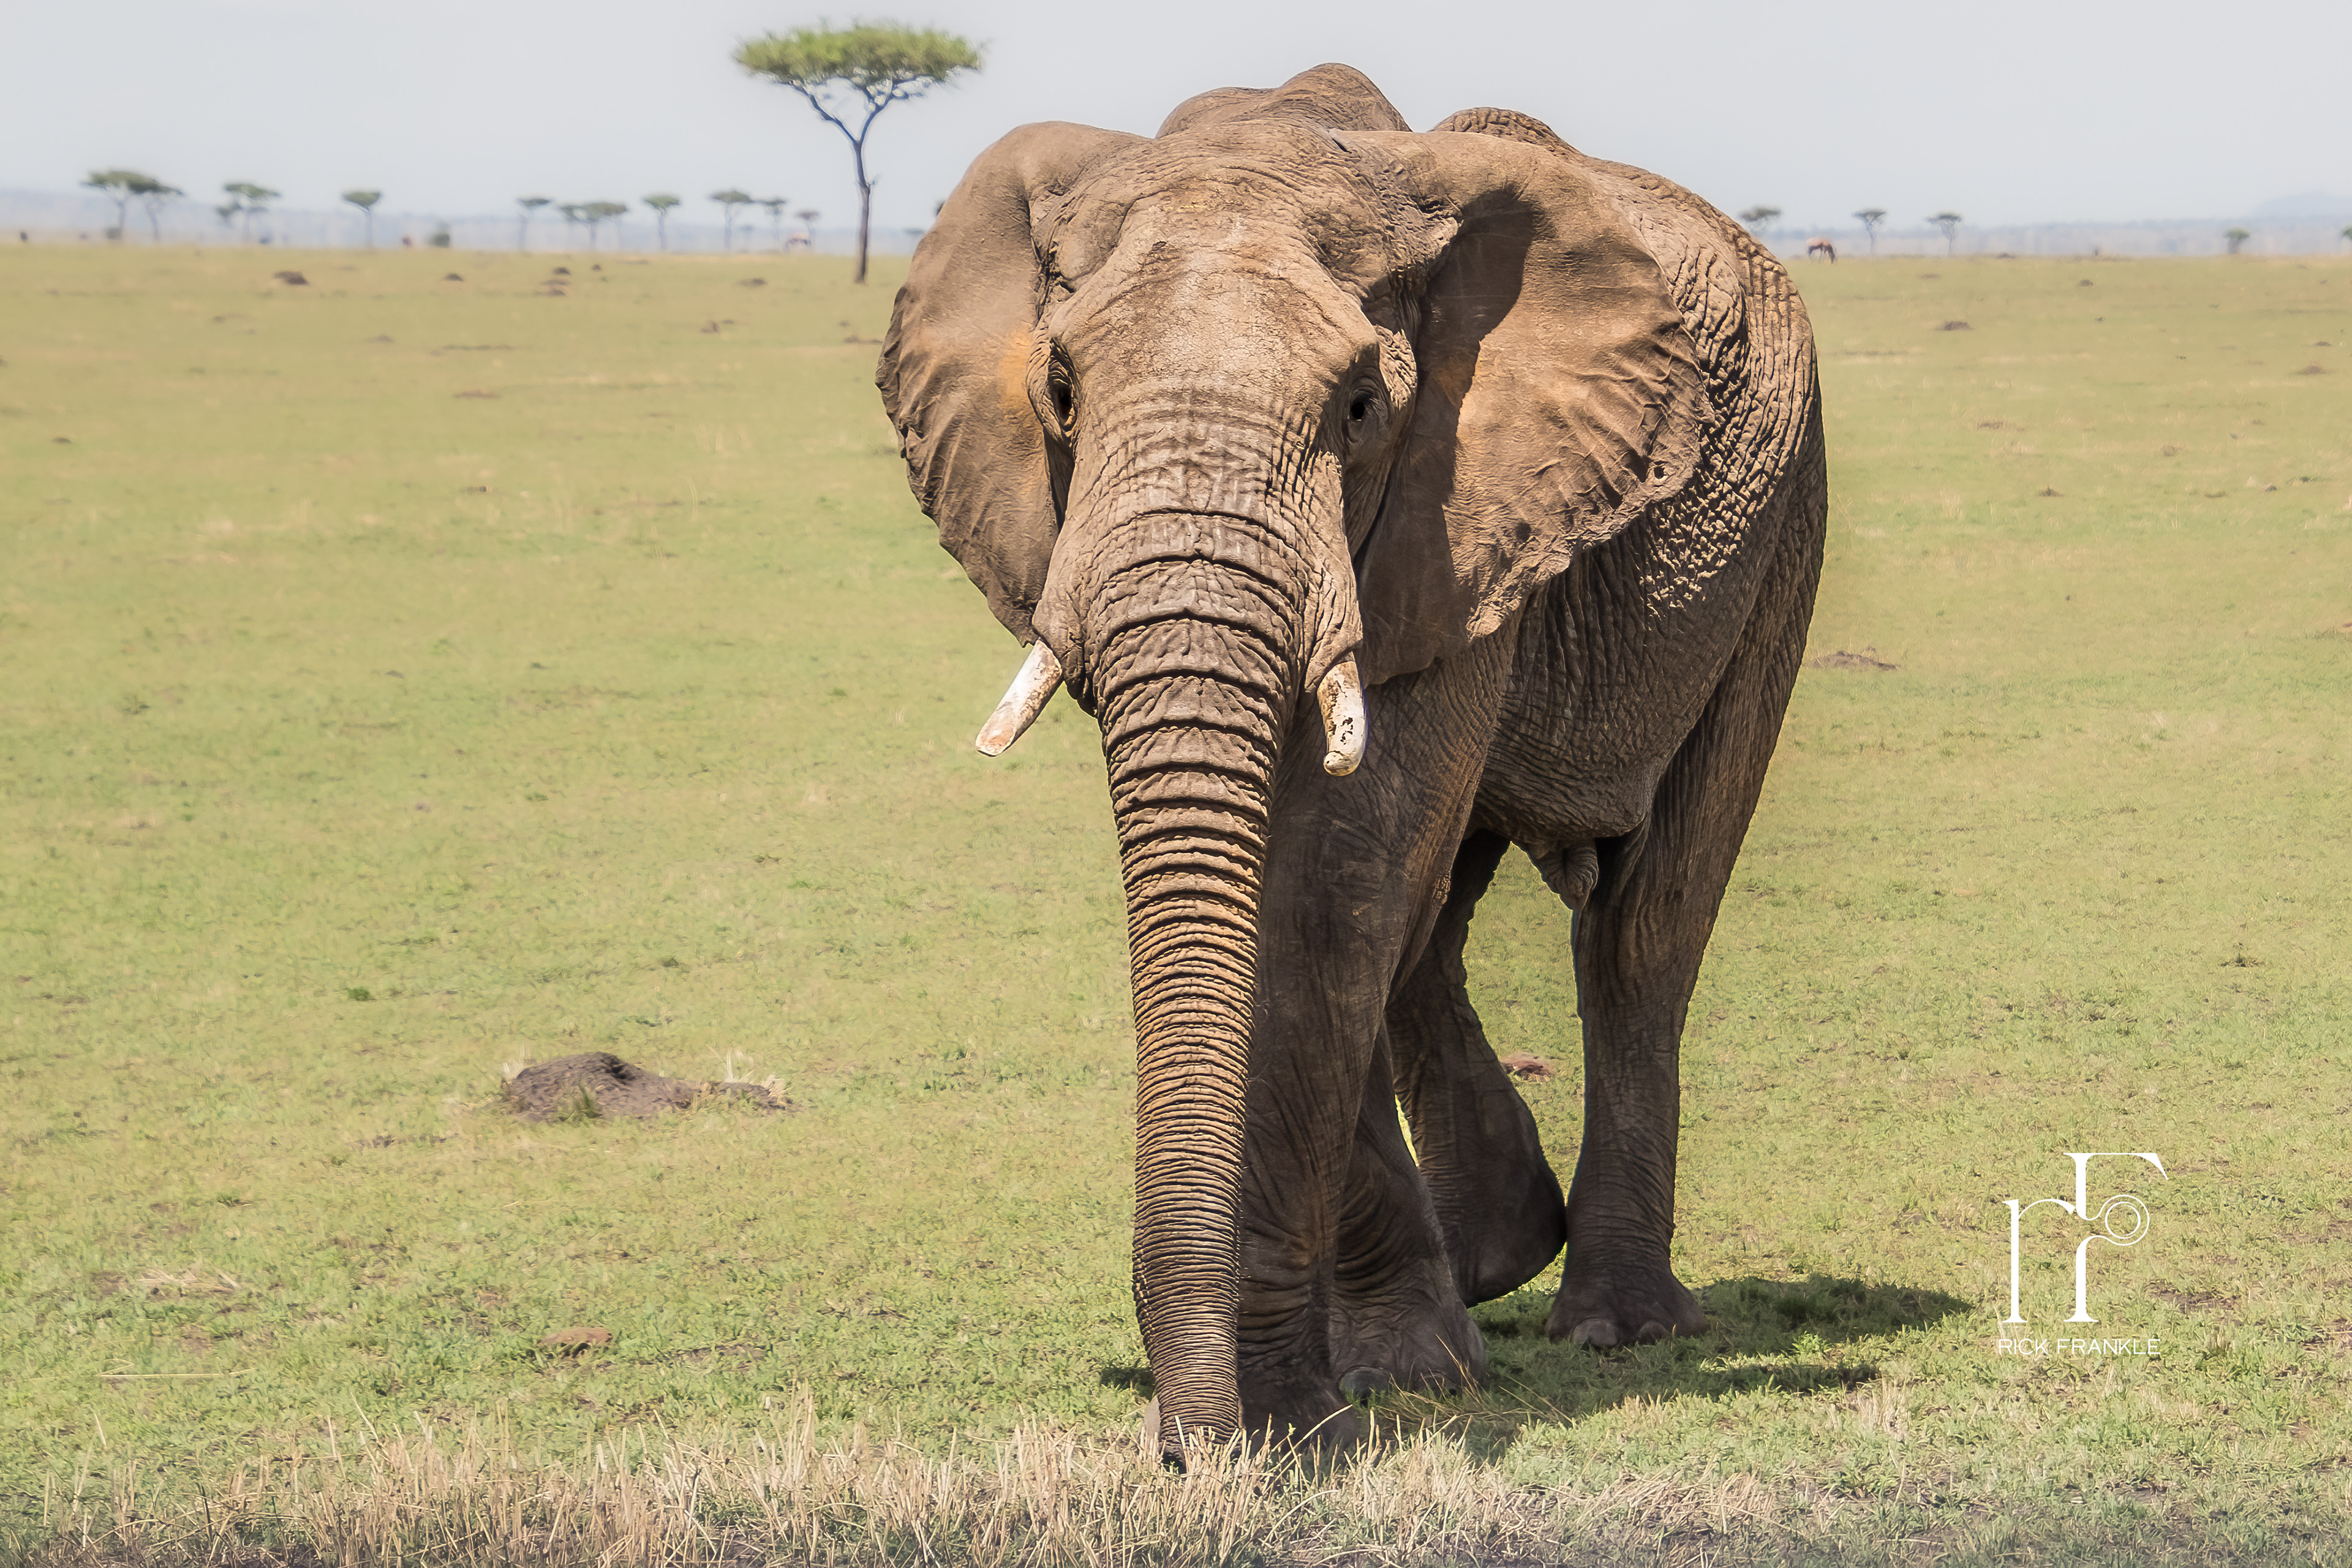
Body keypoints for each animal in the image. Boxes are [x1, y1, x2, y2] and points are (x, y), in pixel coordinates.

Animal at [877, 63, 1825, 1463]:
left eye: (1364, 408)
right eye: (1060, 393)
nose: (1186, 1441)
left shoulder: (1463, 501)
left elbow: (1332, 889)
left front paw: (1296, 1419)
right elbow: (1316, 898)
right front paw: (1380, 1375)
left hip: (1782, 525)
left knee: (1644, 924)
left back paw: (1613, 1324)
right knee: (1434, 926)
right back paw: (1495, 1259)